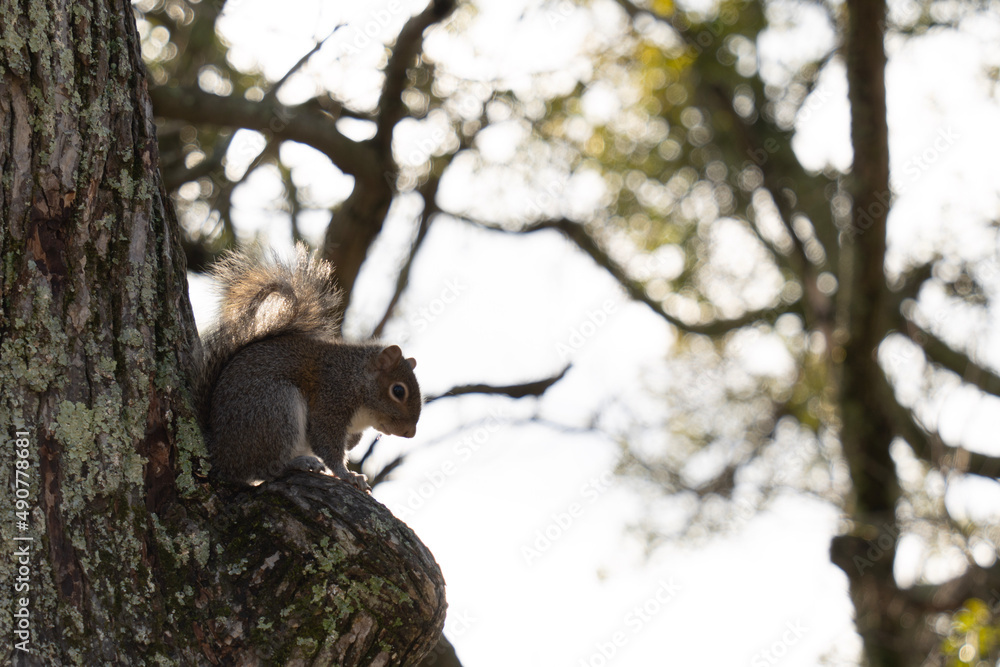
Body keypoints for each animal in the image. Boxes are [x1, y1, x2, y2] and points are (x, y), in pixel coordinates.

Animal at [195, 244, 422, 491]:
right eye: (398, 391)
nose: (410, 433)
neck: (355, 377)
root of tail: (221, 452)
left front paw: (352, 446)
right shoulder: (331, 399)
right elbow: (326, 443)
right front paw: (347, 474)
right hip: (274, 408)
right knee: (265, 468)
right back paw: (297, 463)